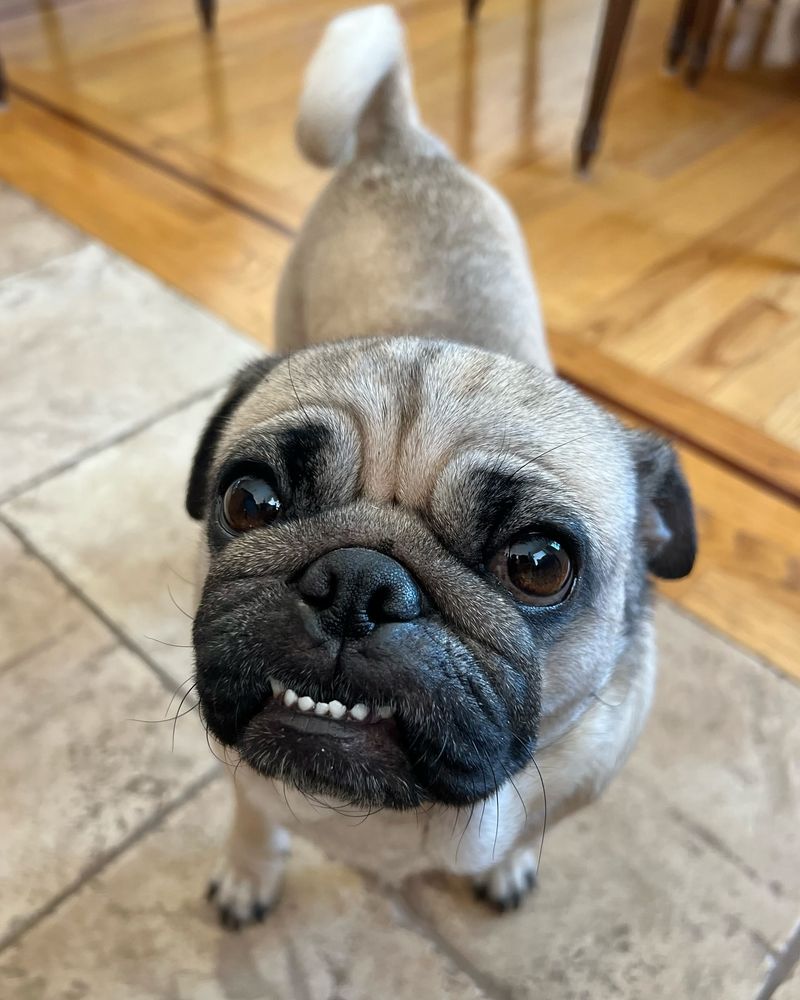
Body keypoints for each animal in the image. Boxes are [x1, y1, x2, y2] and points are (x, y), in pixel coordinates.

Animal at [186, 3, 692, 924]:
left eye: (539, 565)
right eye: (250, 502)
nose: (357, 581)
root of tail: (398, 136)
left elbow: (530, 831)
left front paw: (506, 866)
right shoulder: (241, 770)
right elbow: (254, 815)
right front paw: (249, 872)